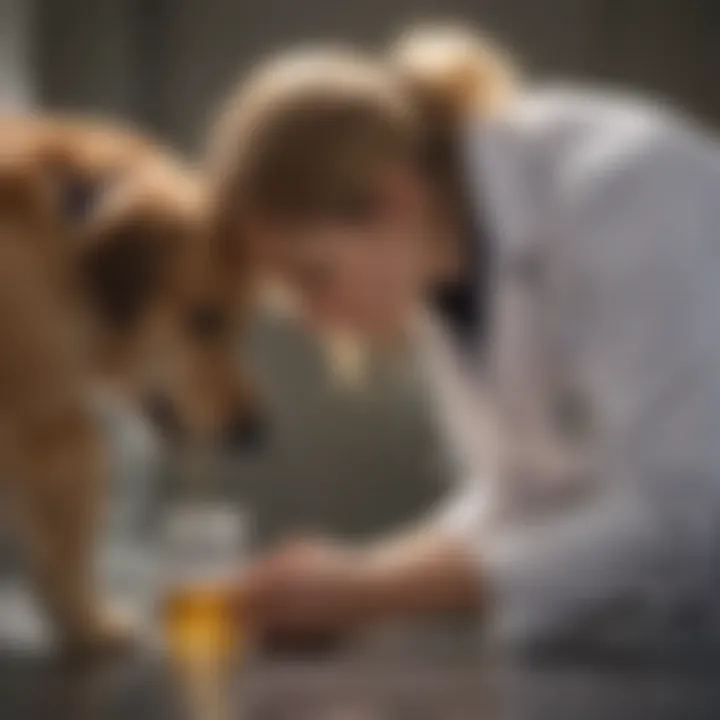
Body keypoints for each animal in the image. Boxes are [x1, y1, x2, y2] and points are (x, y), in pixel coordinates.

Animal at [0, 118, 262, 660]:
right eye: (205, 319)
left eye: (245, 323)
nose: (256, 432)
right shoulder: (47, 415)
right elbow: (66, 539)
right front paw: (87, 625)